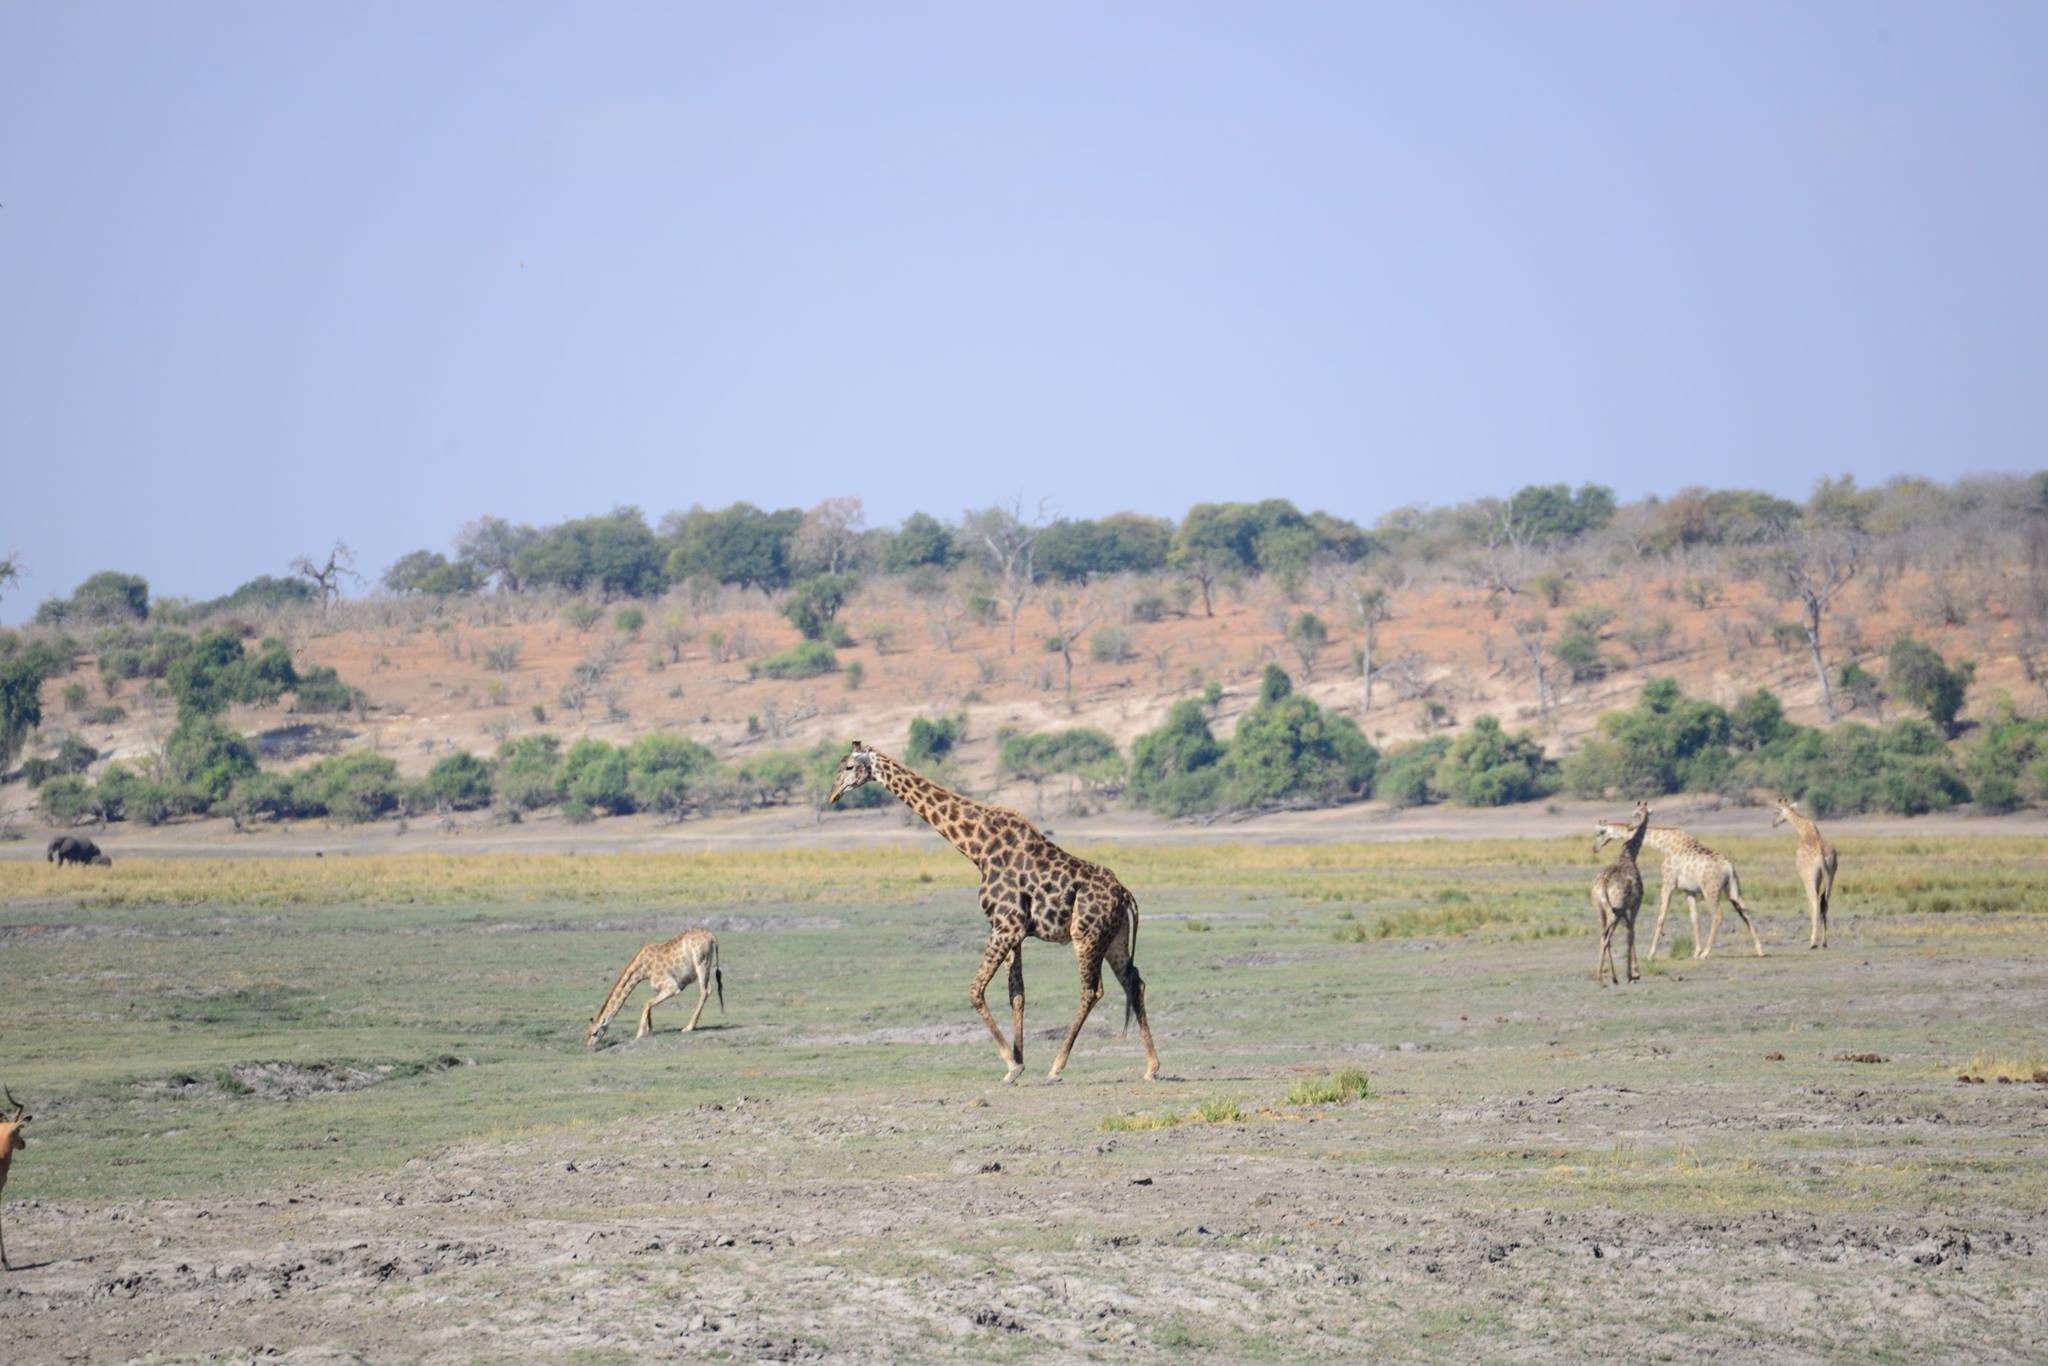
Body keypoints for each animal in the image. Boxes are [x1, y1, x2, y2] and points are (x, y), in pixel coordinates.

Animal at [589, 929, 724, 1048]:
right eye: (588, 1032)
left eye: (595, 1033)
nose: (589, 1045)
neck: (644, 970)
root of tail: (712, 937)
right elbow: (648, 1003)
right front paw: (649, 1029)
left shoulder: (672, 987)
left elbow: (647, 1002)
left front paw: (640, 1033)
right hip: (705, 967)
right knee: (708, 989)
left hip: (701, 963)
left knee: (704, 991)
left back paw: (688, 1028)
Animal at [827, 741, 1155, 1081]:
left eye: (849, 767)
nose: (833, 794)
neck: (978, 848)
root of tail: (1125, 893)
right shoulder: (1011, 929)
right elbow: (1017, 993)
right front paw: (1017, 1064)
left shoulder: (1006, 925)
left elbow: (975, 990)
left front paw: (1012, 1063)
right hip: (1114, 937)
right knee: (1134, 981)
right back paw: (1151, 1067)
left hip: (1086, 936)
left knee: (1092, 990)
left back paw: (1057, 1066)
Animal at [1589, 802, 1654, 983]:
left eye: (1637, 813)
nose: (1631, 826)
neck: (1629, 856)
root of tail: (1604, 885)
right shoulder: (1636, 904)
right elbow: (1631, 933)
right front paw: (1633, 974)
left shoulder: (1624, 909)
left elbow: (1628, 932)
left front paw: (1631, 973)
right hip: (1614, 911)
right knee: (1607, 937)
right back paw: (1604, 978)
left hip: (1600, 909)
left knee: (1603, 936)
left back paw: (1607, 977)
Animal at [1589, 823, 1769, 962]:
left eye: (1601, 833)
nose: (1594, 848)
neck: (1664, 845)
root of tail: (1729, 867)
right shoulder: (1688, 890)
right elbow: (1694, 918)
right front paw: (1695, 951)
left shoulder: (1668, 883)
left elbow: (1661, 918)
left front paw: (1650, 955)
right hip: (1733, 889)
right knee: (1745, 911)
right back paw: (1760, 950)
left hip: (1711, 890)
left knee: (1718, 915)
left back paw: (1706, 953)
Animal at [1761, 802, 1843, 950]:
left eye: (1777, 812)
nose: (1773, 823)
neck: (1806, 832)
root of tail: (1821, 856)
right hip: (1830, 878)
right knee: (1825, 903)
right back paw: (1824, 942)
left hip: (1809, 879)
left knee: (1814, 901)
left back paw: (1813, 942)